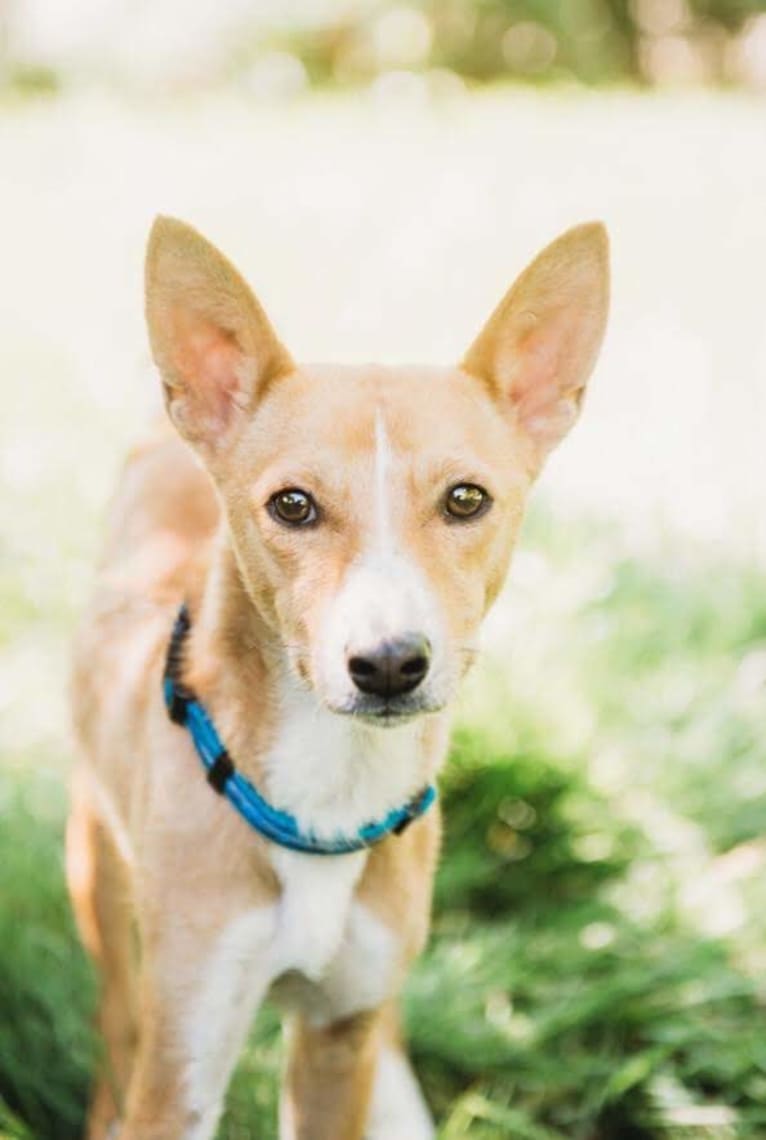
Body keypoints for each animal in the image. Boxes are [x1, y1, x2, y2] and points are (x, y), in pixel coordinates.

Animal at [67, 215, 610, 1140]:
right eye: (292, 505)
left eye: (466, 499)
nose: (389, 663)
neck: (331, 794)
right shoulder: (182, 1070)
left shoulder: (334, 1043)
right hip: (99, 871)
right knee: (116, 1015)